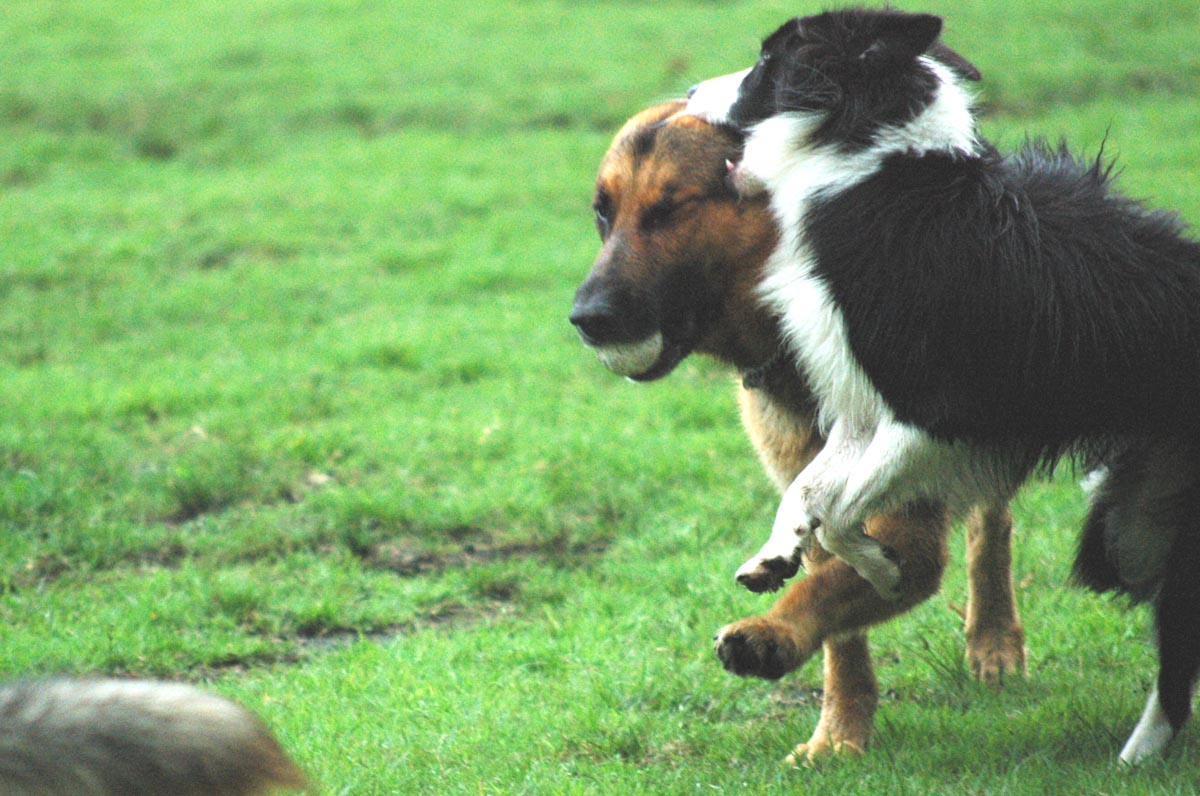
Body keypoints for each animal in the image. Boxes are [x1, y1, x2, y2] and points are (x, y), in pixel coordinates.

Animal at [571, 102, 1022, 763]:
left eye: (670, 209)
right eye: (603, 211)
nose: (586, 319)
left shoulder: (908, 535)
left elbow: (837, 585)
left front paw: (768, 633)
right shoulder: (812, 504)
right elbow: (838, 619)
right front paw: (839, 730)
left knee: (991, 522)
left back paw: (994, 638)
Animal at [691, 6, 1200, 768]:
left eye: (767, 63)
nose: (690, 91)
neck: (868, 168)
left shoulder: (937, 416)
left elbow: (842, 512)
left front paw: (880, 568)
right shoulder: (864, 406)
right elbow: (808, 488)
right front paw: (778, 552)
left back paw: (1133, 762)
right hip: (1132, 525)